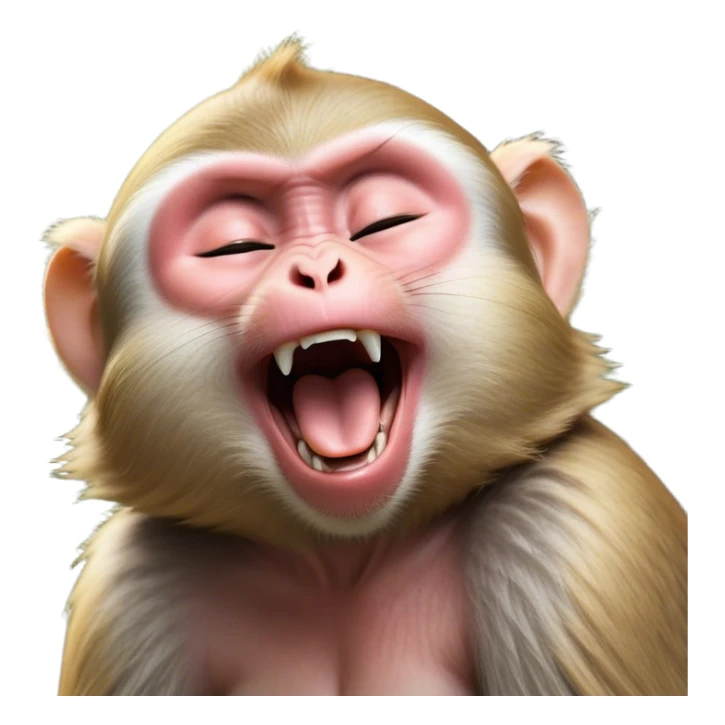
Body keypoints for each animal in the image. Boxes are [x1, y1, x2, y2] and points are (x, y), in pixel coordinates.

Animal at [42, 38, 686, 696]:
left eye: (387, 222)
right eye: (234, 247)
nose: (318, 269)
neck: (344, 558)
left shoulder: (577, 525)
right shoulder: (128, 588)